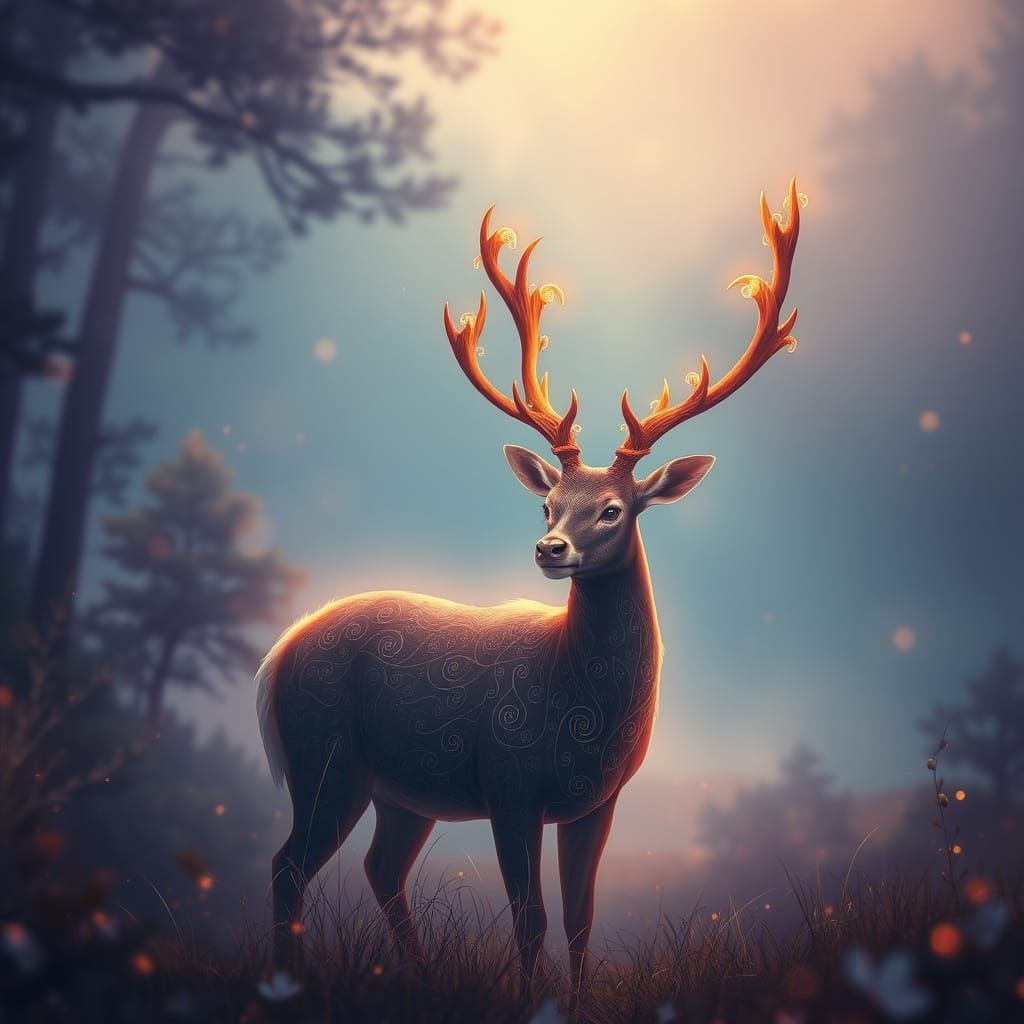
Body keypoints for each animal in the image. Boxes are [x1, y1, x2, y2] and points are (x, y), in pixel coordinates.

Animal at [256, 180, 803, 1001]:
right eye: (547, 505)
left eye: (613, 509)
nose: (550, 548)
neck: (581, 711)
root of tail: (277, 653)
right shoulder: (508, 779)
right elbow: (531, 919)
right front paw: (529, 1004)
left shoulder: (597, 801)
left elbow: (579, 918)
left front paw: (573, 1005)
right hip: (327, 753)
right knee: (288, 865)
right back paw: (290, 985)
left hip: (399, 789)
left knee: (379, 868)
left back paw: (420, 978)